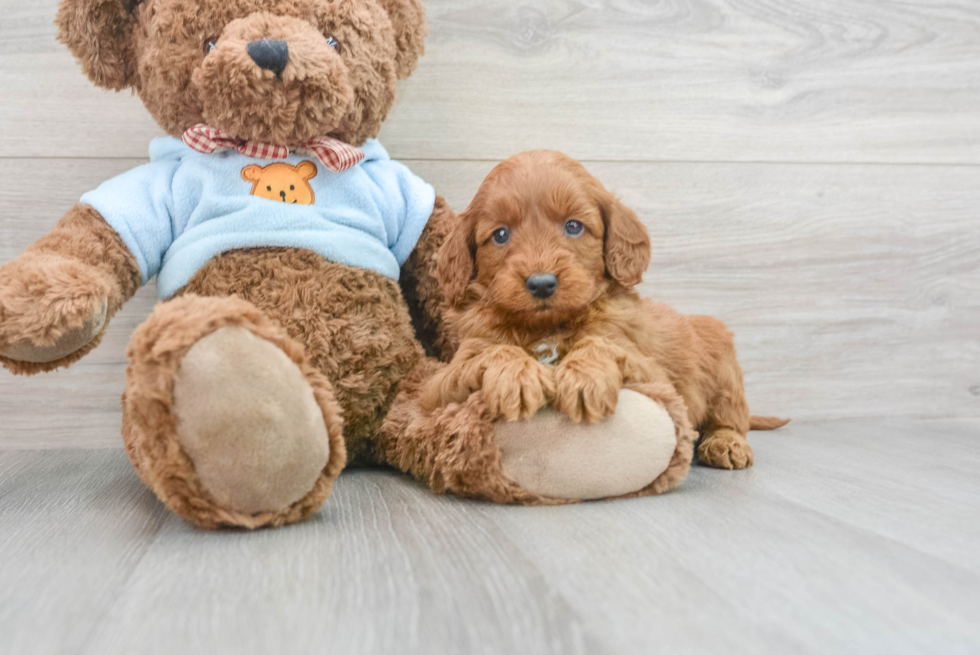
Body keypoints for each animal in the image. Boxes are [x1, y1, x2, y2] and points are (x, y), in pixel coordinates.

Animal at [424, 152, 788, 472]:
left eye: (573, 226)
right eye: (500, 234)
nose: (541, 284)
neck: (546, 327)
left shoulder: (652, 372)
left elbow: (601, 343)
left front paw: (586, 377)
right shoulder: (439, 385)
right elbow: (490, 353)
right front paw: (516, 376)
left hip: (723, 363)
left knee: (731, 418)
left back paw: (727, 443)